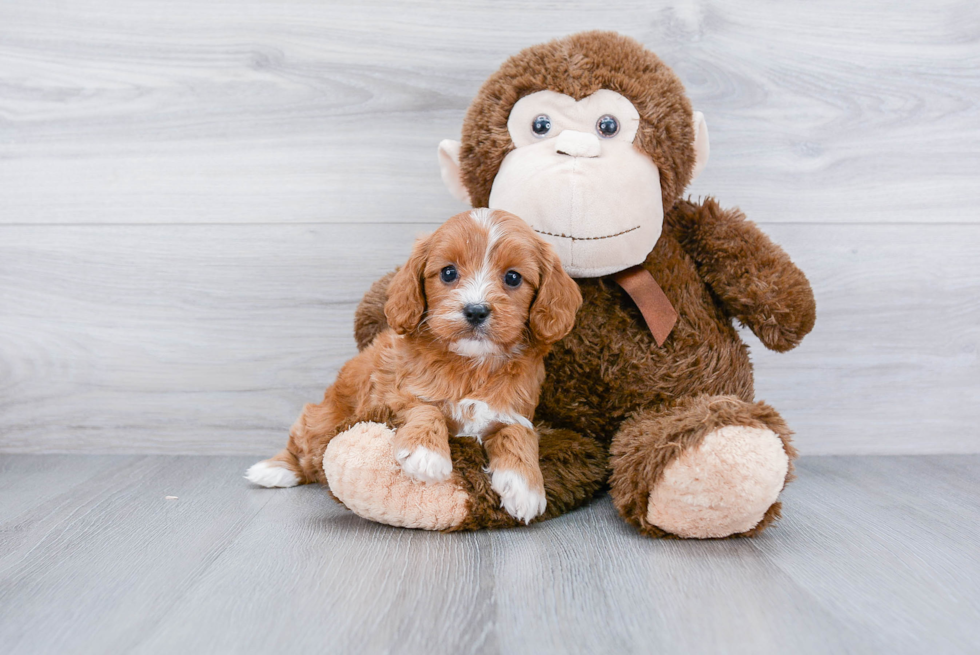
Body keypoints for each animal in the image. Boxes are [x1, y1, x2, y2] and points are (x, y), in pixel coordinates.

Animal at [245, 209, 580, 524]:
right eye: (448, 273)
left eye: (513, 278)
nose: (475, 310)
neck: (471, 365)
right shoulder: (391, 395)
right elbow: (426, 408)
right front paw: (427, 454)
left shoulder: (514, 411)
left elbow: (518, 433)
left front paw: (526, 487)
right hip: (324, 417)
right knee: (305, 443)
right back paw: (274, 470)